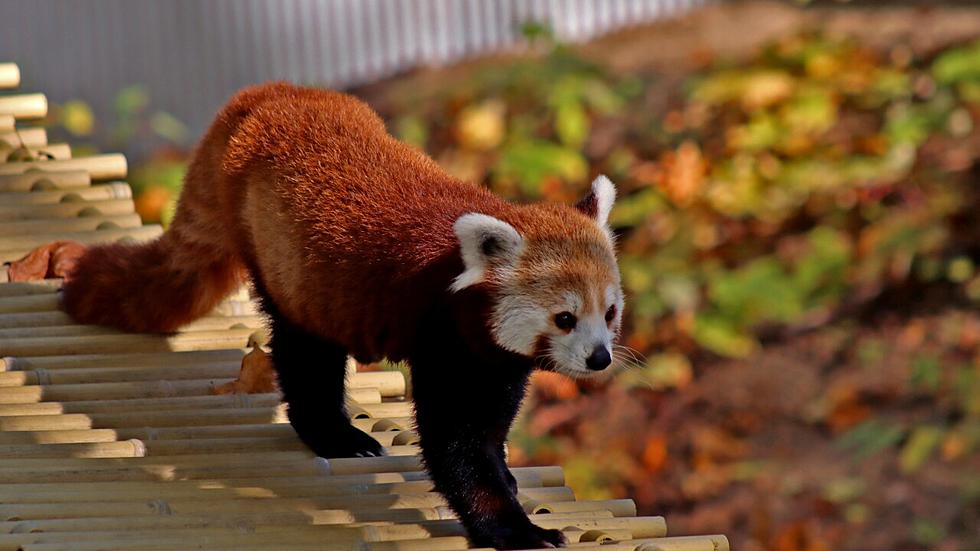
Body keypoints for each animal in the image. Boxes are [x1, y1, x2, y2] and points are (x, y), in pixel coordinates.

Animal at [65, 83, 624, 551]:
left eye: (610, 312)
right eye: (565, 318)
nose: (599, 359)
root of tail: (263, 96)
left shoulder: (494, 359)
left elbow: (491, 426)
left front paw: (507, 477)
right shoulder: (442, 335)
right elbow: (455, 447)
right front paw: (514, 527)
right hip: (289, 270)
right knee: (306, 357)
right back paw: (335, 435)